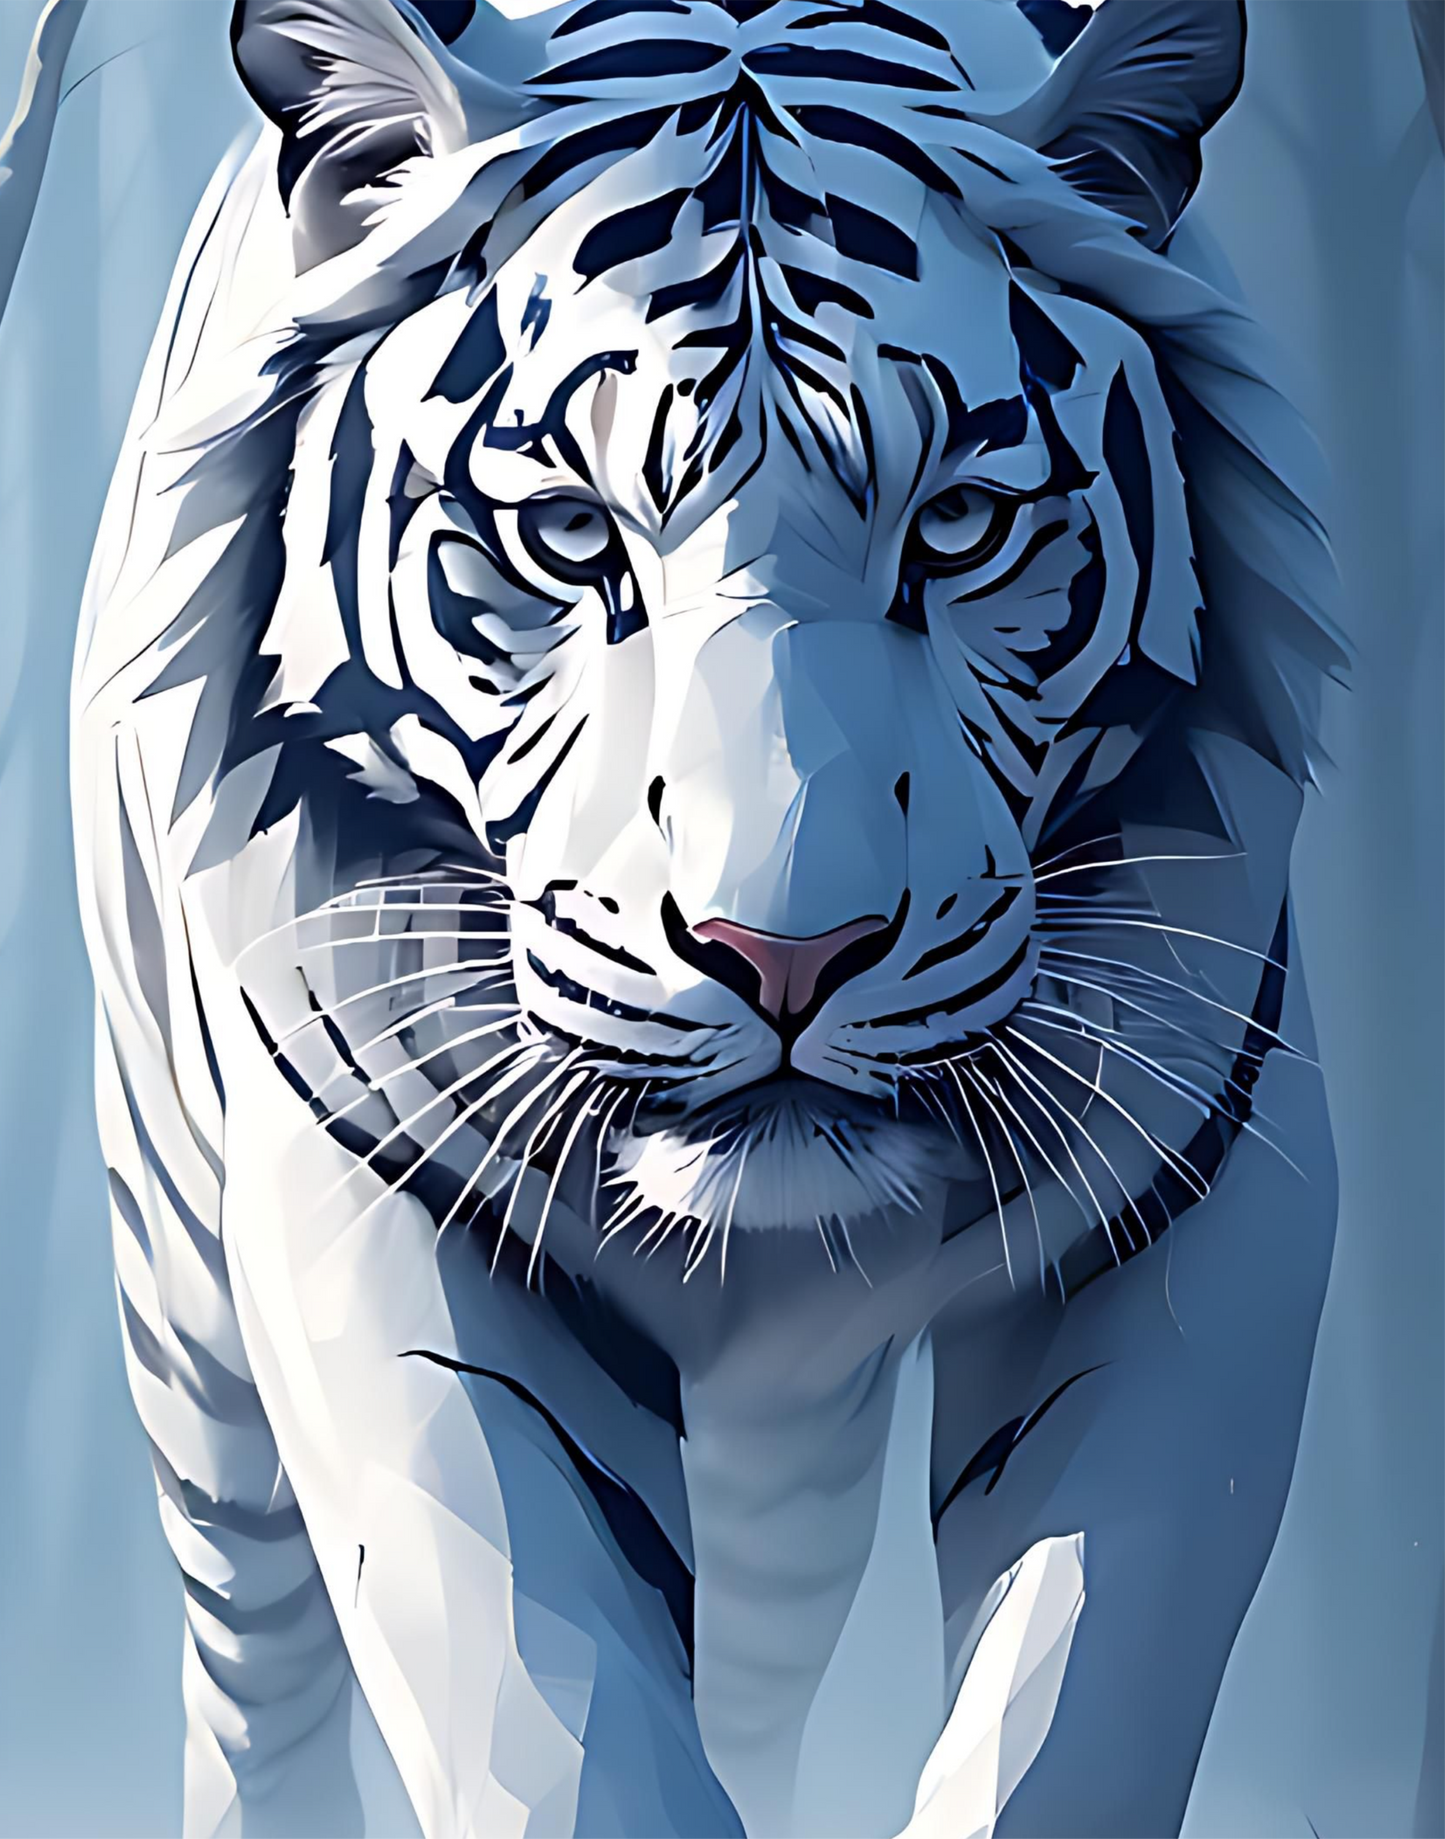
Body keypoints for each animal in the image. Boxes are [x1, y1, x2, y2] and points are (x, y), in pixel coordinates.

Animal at [71, 1, 1344, 1835]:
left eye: (959, 525)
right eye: (566, 534)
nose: (787, 957)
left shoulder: (1200, 1200)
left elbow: (1076, 1698)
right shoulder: (385, 1197)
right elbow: (546, 1694)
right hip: (184, 1285)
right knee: (258, 1663)